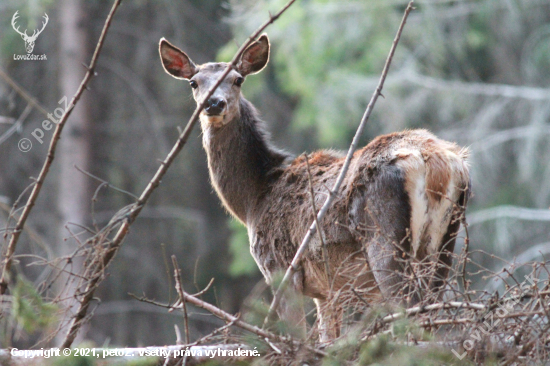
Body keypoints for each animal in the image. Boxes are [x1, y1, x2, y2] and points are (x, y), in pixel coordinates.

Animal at [158, 33, 470, 342]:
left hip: (385, 241)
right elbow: (327, 340)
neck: (253, 198)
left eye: (238, 79)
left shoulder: (281, 270)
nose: (214, 104)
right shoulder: (329, 291)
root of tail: (437, 164)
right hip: (444, 246)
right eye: (194, 82)